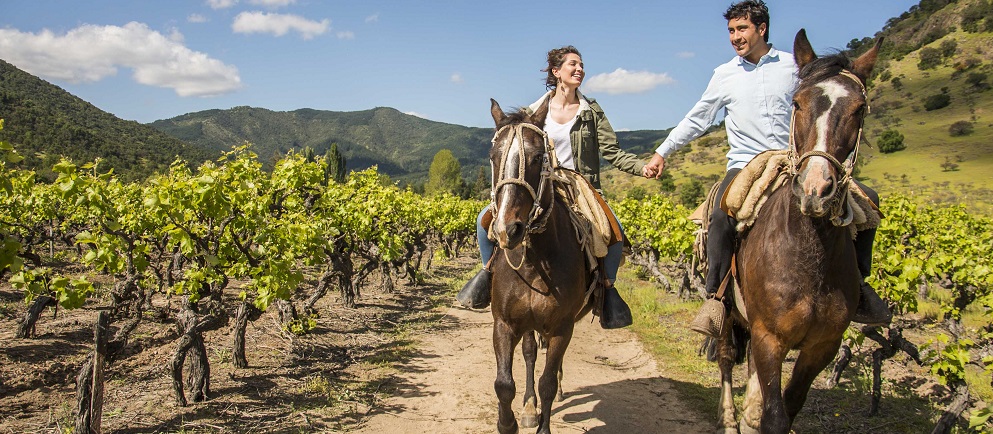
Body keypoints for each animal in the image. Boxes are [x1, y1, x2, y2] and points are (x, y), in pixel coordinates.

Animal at [484, 98, 592, 434]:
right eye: (493, 157)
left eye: (537, 157)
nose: (508, 230)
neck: (535, 261)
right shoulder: (504, 324)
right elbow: (504, 383)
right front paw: (508, 423)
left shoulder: (561, 327)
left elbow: (547, 382)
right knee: (531, 354)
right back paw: (530, 407)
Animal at [712, 28, 884, 432]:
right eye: (798, 103)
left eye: (859, 109)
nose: (815, 189)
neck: (810, 257)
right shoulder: (769, 336)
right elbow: (775, 415)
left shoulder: (823, 346)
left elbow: (789, 406)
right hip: (729, 312)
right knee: (726, 357)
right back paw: (728, 417)